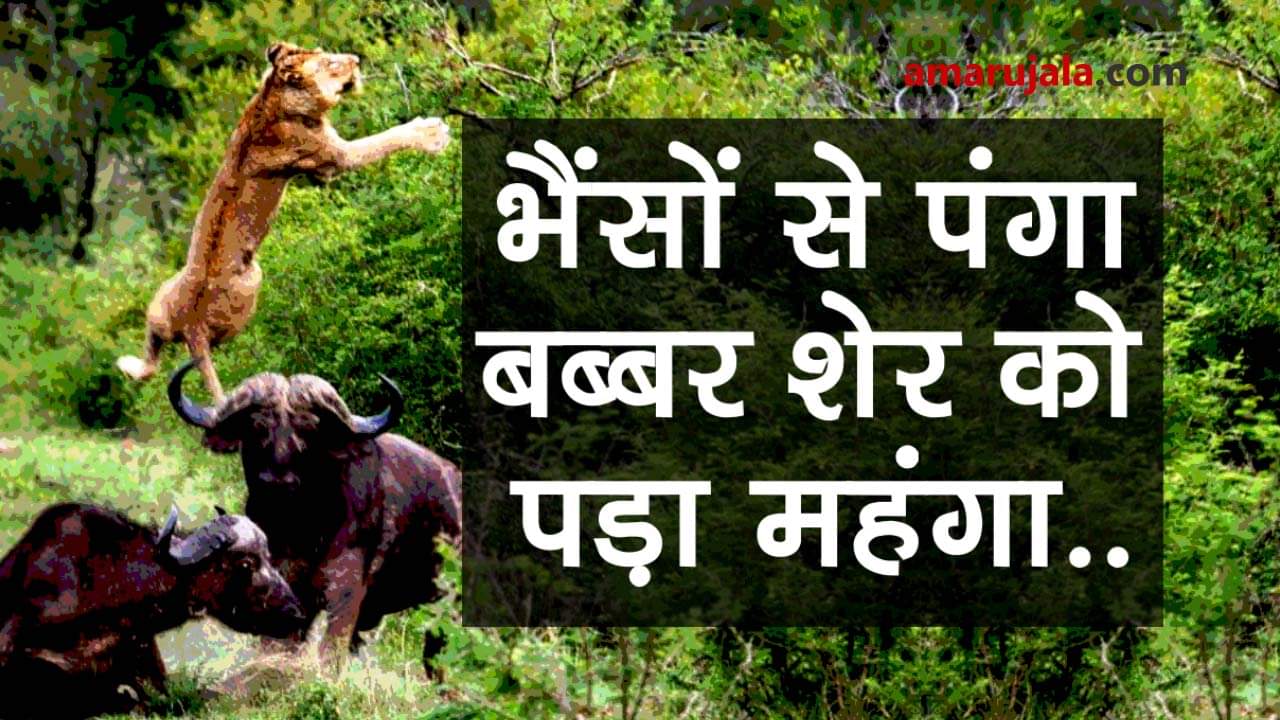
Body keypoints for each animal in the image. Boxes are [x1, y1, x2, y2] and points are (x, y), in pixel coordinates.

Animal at [117, 41, 450, 402]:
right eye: (331, 63)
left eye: (327, 53)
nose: (356, 60)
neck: (274, 97)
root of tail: (193, 331)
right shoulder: (335, 157)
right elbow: (386, 138)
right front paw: (432, 132)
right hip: (251, 285)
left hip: (160, 304)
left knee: (152, 353)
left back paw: (128, 365)